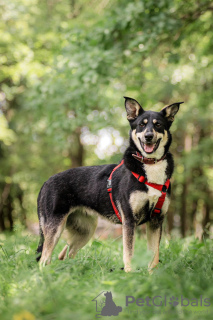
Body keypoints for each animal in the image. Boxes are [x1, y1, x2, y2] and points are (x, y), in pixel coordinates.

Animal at [35, 96, 182, 272]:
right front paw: (130, 274)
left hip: (85, 229)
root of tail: (46, 182)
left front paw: (152, 275)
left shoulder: (156, 221)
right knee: (45, 258)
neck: (150, 165)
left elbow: (154, 256)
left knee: (64, 254)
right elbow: (129, 253)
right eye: (141, 124)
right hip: (55, 227)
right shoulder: (129, 221)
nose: (148, 136)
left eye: (158, 124)